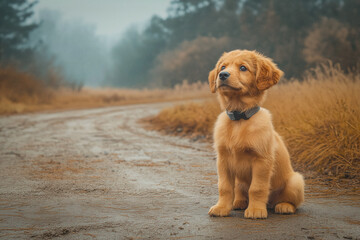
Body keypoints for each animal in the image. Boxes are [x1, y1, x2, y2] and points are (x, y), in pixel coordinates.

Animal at [208, 49, 304, 218]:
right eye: (223, 67)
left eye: (243, 68)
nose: (223, 75)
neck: (239, 118)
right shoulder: (223, 159)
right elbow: (225, 187)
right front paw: (222, 208)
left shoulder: (261, 160)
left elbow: (257, 188)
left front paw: (256, 210)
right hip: (239, 180)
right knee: (239, 189)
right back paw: (239, 202)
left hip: (296, 181)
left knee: (292, 202)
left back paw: (284, 206)